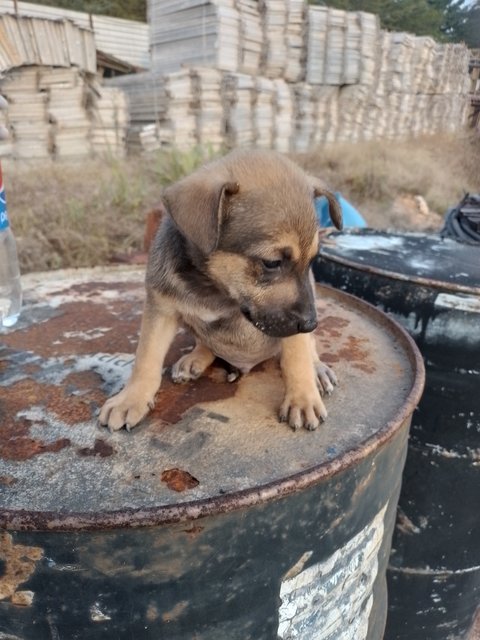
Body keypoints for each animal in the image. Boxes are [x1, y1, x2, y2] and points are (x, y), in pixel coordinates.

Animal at [99, 148, 344, 432]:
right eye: (272, 263)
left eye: (313, 260)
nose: (310, 323)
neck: (215, 288)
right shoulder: (160, 309)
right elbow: (146, 358)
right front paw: (131, 399)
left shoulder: (292, 326)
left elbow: (297, 358)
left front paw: (302, 400)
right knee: (206, 343)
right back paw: (195, 358)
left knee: (308, 348)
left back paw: (318, 370)